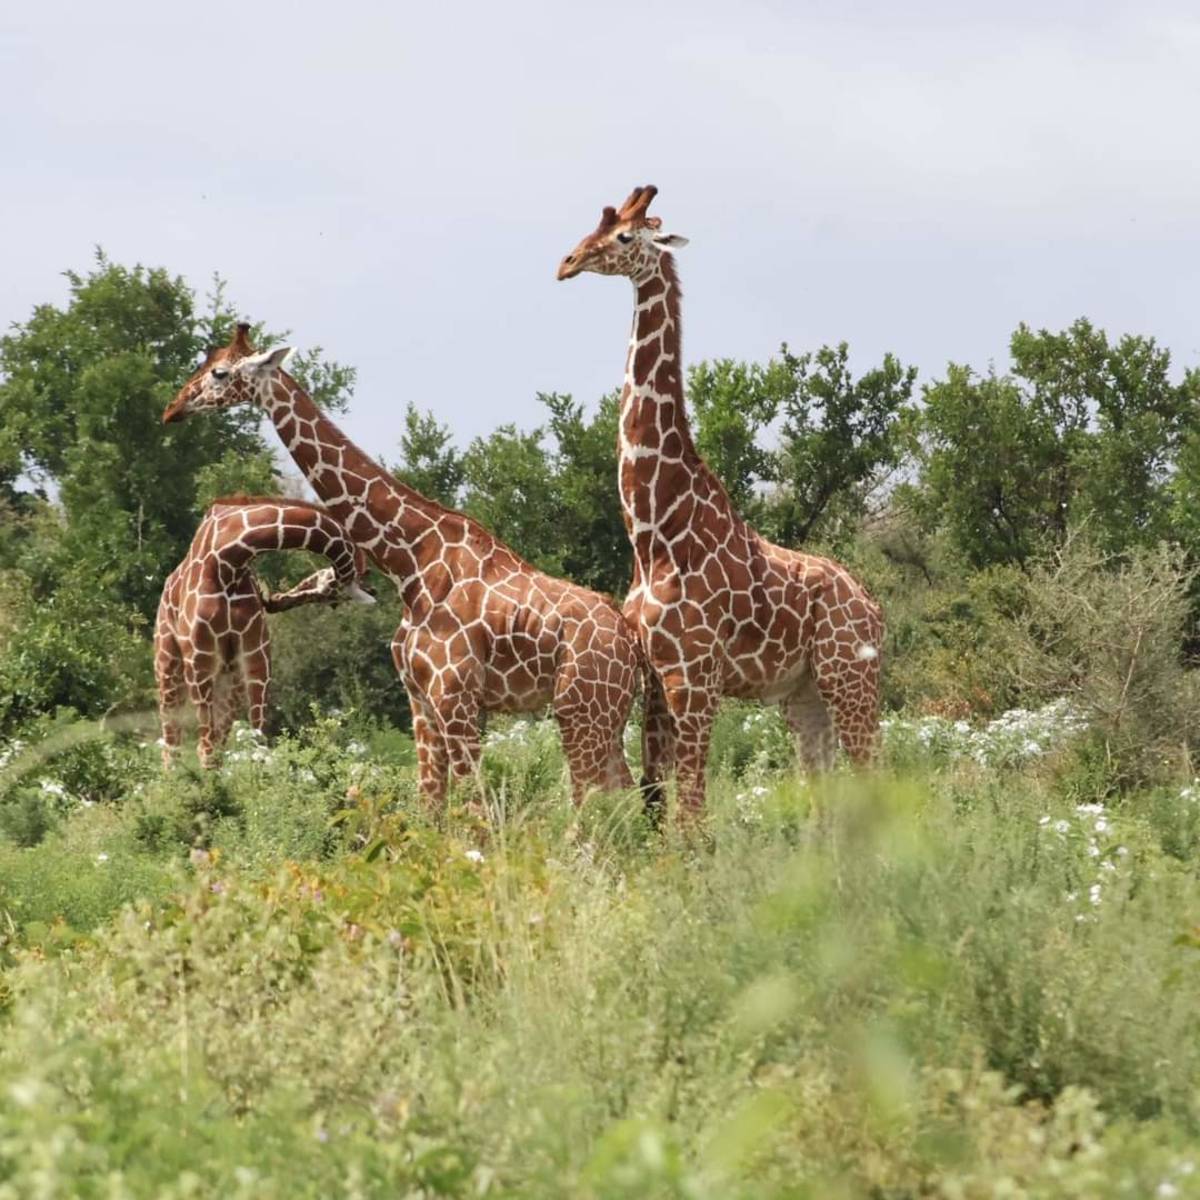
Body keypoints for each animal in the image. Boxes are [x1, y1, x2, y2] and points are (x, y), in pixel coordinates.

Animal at [155, 495, 375, 768]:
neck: (229, 561)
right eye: (333, 599)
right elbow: (205, 748)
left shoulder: (255, 656)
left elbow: (257, 741)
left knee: (217, 740)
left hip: (229, 675)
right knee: (173, 743)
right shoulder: (199, 660)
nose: (273, 601)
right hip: (168, 662)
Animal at [557, 185, 884, 821]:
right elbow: (656, 797)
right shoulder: (658, 677)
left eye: (624, 236)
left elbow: (692, 806)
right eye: (593, 227)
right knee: (824, 790)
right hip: (803, 693)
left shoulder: (695, 676)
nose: (566, 263)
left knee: (875, 773)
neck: (654, 532)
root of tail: (875, 608)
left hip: (851, 677)